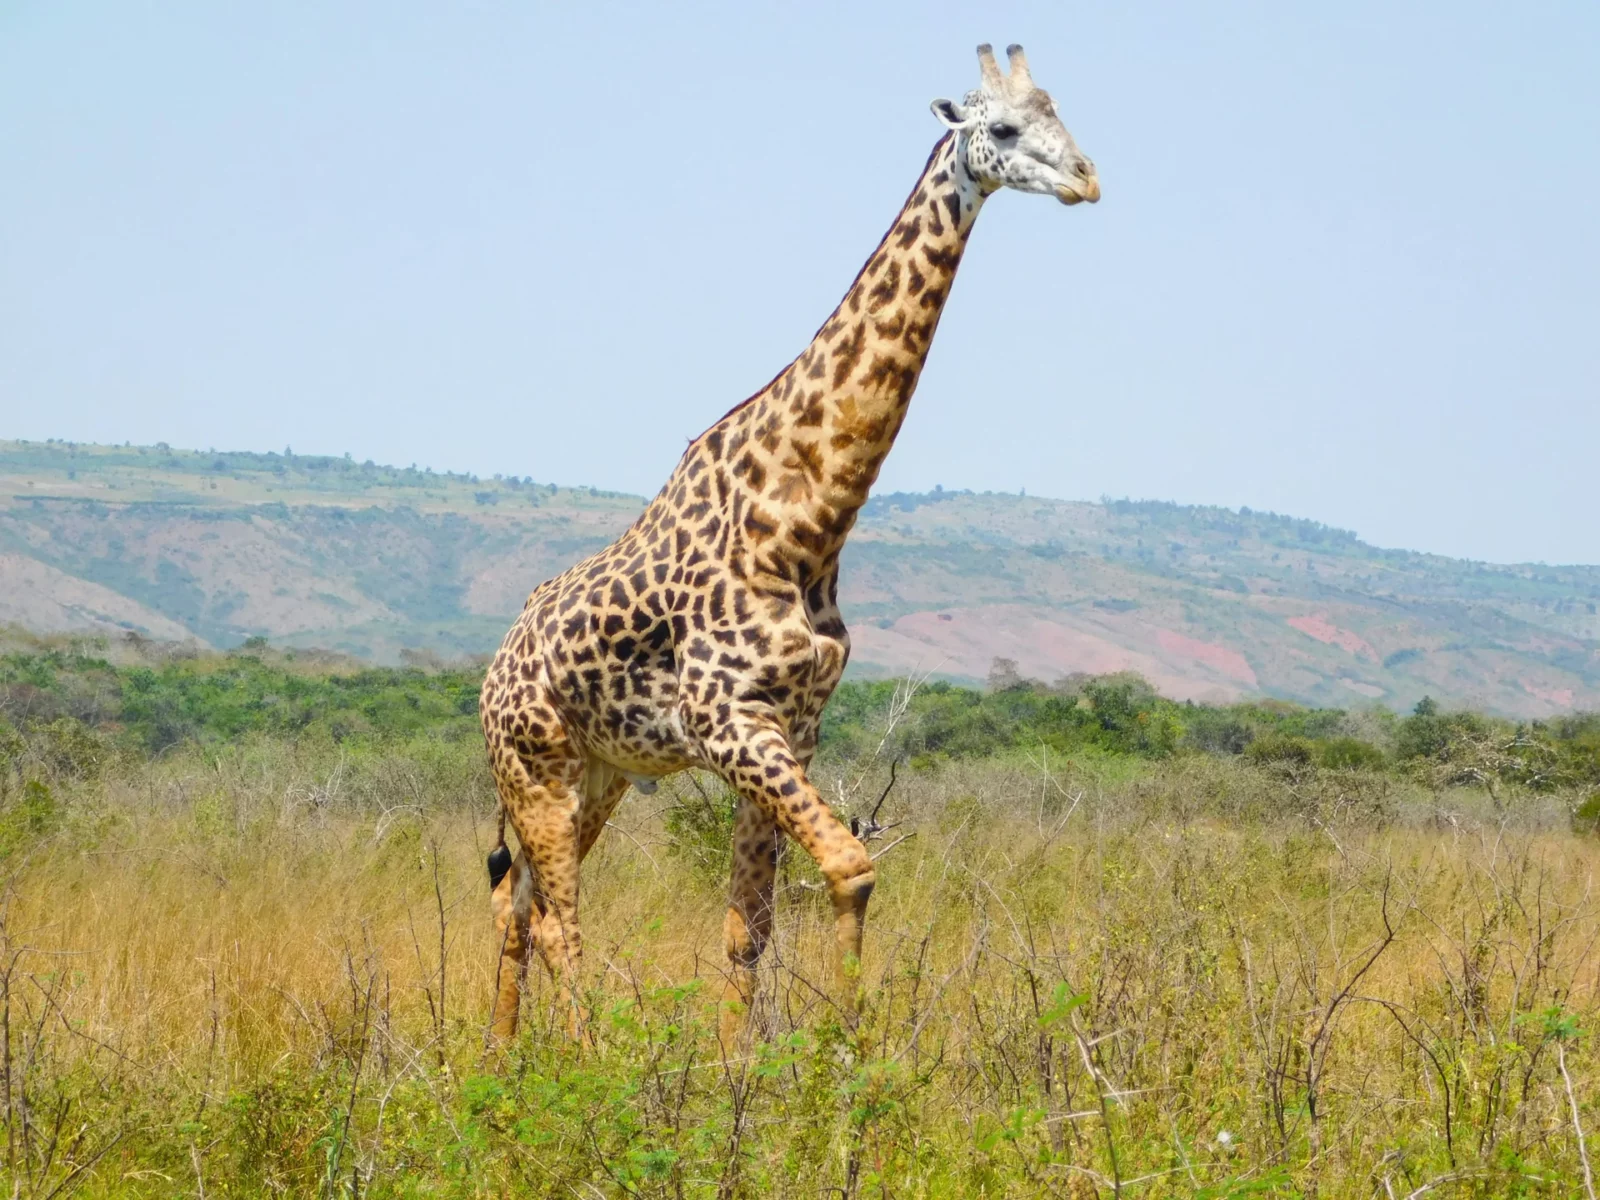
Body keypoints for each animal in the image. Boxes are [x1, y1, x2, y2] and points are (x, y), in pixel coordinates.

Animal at [479, 43, 1099, 1044]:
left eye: (1062, 114)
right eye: (1003, 128)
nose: (1087, 178)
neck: (807, 523)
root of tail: (490, 672)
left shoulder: (792, 729)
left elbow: (750, 927)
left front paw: (755, 1067)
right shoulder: (728, 718)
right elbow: (851, 867)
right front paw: (845, 1053)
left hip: (596, 771)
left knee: (520, 905)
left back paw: (499, 1059)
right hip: (534, 765)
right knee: (560, 919)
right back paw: (575, 1059)